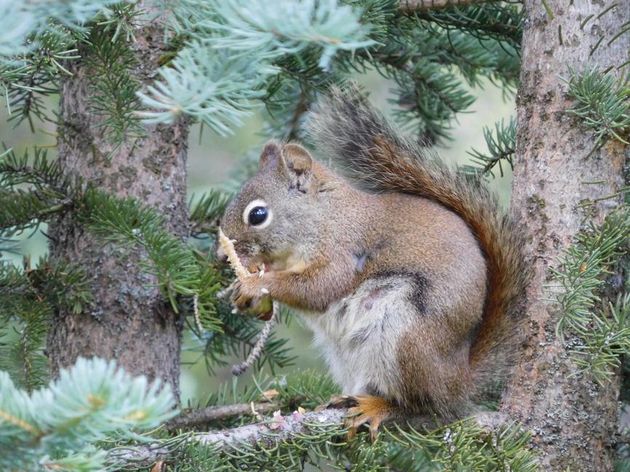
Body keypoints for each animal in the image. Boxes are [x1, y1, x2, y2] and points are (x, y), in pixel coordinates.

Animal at [220, 87, 524, 436]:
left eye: (258, 215)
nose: (220, 255)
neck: (323, 217)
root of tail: (458, 381)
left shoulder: (343, 251)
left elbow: (319, 288)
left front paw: (256, 283)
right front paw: (246, 291)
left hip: (406, 339)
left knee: (425, 408)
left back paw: (377, 408)